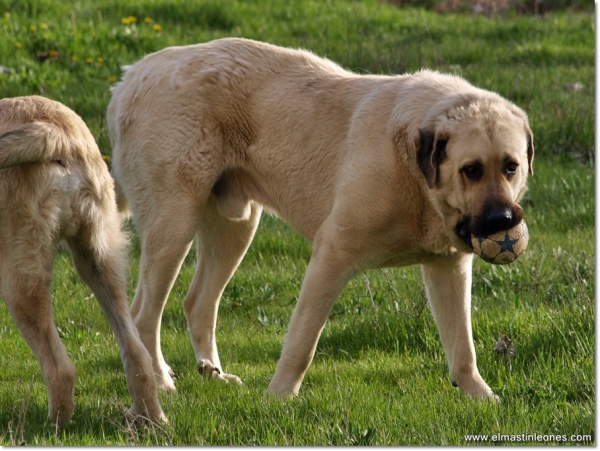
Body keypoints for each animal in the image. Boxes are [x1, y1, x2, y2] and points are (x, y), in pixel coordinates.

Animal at [0, 97, 166, 430]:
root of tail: (54, 131)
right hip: (101, 261)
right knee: (137, 352)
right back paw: (150, 419)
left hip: (18, 278)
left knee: (61, 369)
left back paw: (48, 428)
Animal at [108, 38, 536, 400]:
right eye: (471, 170)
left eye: (511, 167)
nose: (501, 220)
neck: (413, 173)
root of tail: (132, 76)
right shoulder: (332, 255)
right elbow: (302, 341)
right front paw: (278, 399)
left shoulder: (449, 267)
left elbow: (463, 347)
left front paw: (482, 399)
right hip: (174, 226)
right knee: (143, 315)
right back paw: (160, 382)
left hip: (235, 227)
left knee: (197, 303)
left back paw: (212, 373)